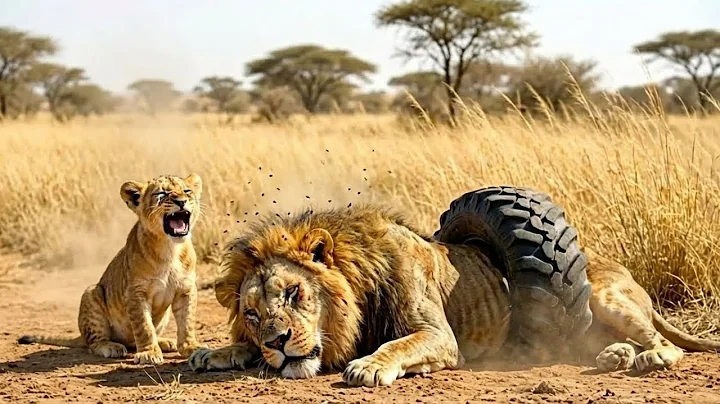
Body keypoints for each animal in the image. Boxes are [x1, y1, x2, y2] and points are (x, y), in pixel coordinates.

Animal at [18, 173, 207, 365]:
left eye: (187, 191)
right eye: (162, 193)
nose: (182, 201)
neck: (171, 249)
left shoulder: (186, 289)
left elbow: (186, 322)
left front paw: (192, 348)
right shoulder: (135, 292)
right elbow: (144, 326)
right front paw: (149, 353)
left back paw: (165, 342)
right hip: (91, 293)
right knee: (94, 343)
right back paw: (111, 347)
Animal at [188, 203, 720, 387]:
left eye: (295, 291)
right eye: (251, 314)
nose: (276, 343)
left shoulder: (439, 336)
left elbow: (397, 344)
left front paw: (370, 366)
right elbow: (235, 349)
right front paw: (215, 351)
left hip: (607, 299)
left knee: (662, 341)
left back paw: (648, 358)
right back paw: (614, 356)